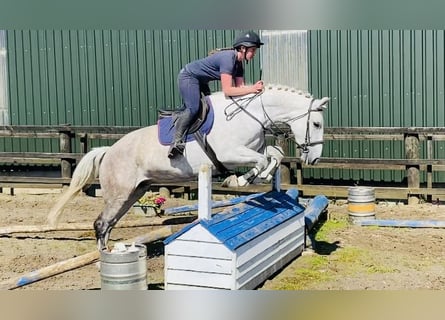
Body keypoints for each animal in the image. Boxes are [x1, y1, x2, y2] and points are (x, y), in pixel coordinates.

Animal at [46, 85, 328, 250]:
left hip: (134, 192)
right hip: (119, 193)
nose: (314, 159)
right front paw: (239, 181)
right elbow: (261, 161)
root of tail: (108, 151)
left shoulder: (252, 150)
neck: (251, 115)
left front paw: (257, 178)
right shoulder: (230, 155)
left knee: (109, 223)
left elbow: (274, 155)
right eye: (316, 124)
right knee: (101, 223)